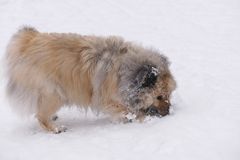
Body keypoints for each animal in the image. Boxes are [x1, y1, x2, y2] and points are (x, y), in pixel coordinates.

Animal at [5, 26, 176, 133]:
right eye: (159, 97)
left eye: (169, 95)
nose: (169, 112)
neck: (126, 71)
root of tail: (28, 42)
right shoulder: (108, 100)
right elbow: (128, 110)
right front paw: (139, 118)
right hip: (54, 93)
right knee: (40, 117)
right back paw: (56, 128)